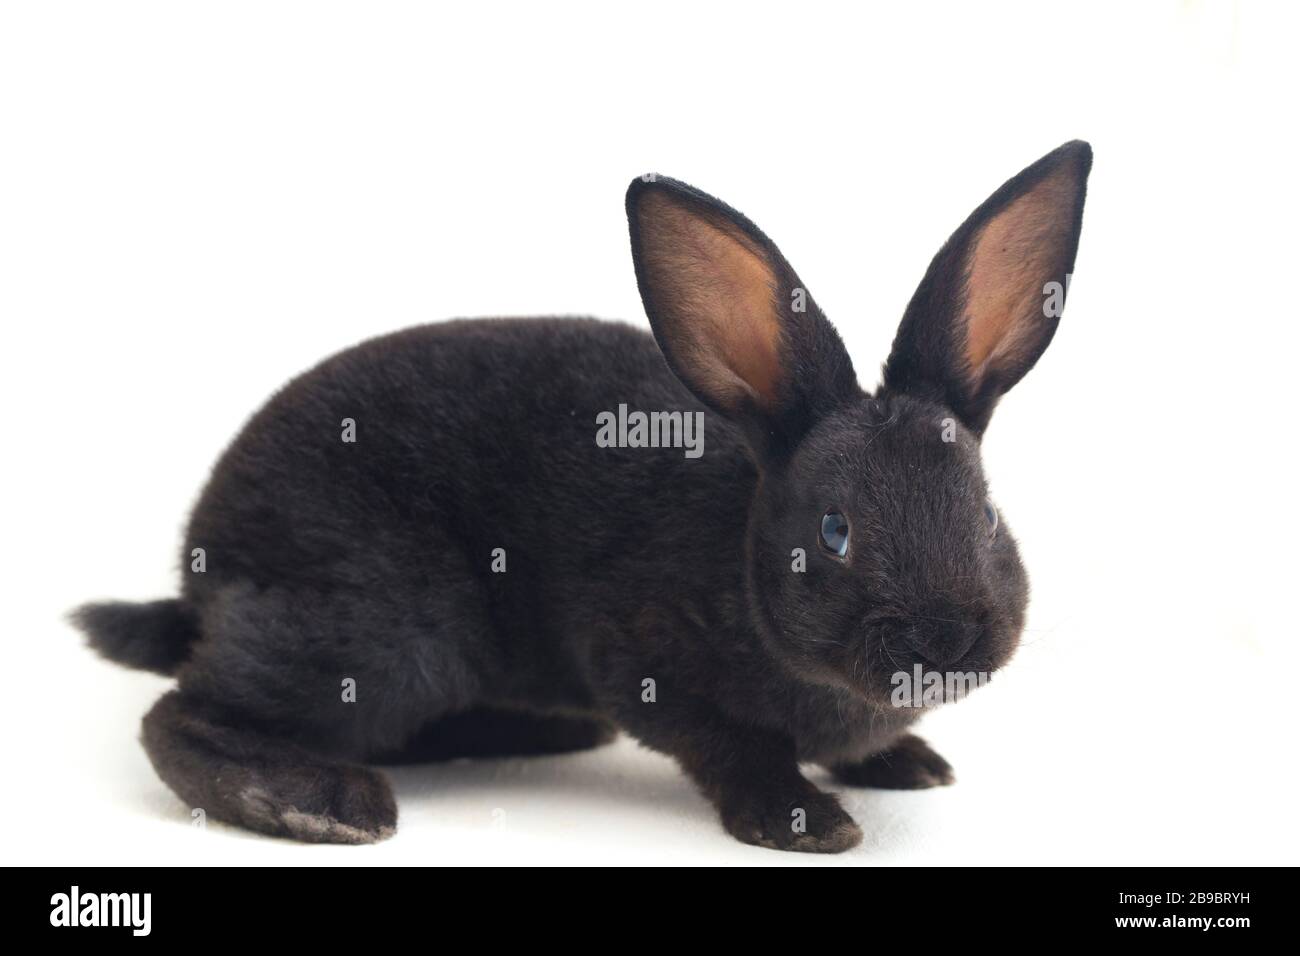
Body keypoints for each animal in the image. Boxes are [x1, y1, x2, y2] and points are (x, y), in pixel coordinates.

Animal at [73, 140, 1091, 852]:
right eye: (835, 530)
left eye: (987, 514)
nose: (948, 642)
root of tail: (203, 568)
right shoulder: (639, 661)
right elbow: (733, 746)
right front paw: (804, 819)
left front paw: (910, 763)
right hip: (379, 633)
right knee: (181, 712)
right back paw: (320, 803)